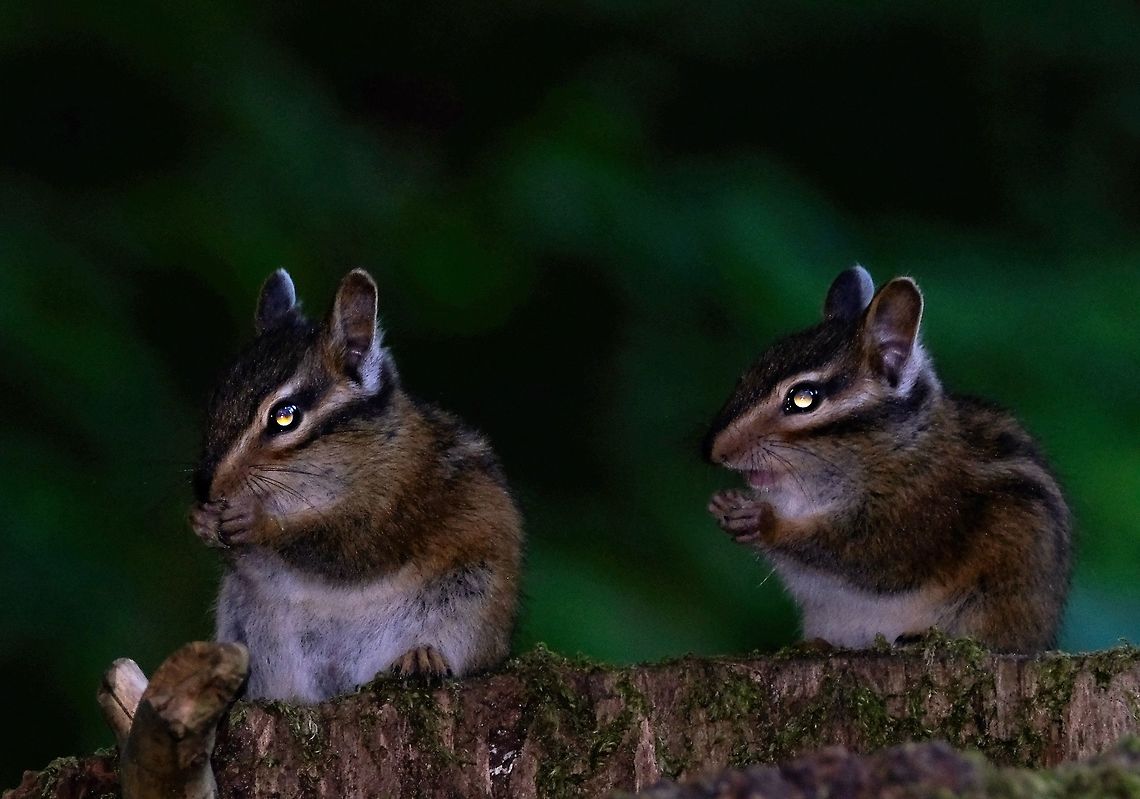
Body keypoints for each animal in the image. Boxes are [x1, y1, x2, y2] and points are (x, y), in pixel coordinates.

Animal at [188, 268, 523, 702]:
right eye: (217, 398)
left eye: (285, 416)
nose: (205, 488)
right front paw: (202, 520)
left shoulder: (398, 502)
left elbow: (345, 544)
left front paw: (256, 521)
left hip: (468, 602)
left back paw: (422, 656)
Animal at [703, 266, 1071, 653]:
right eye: (748, 374)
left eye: (803, 398)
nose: (712, 450)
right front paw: (724, 504)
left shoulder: (921, 514)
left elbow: (867, 554)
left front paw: (764, 521)